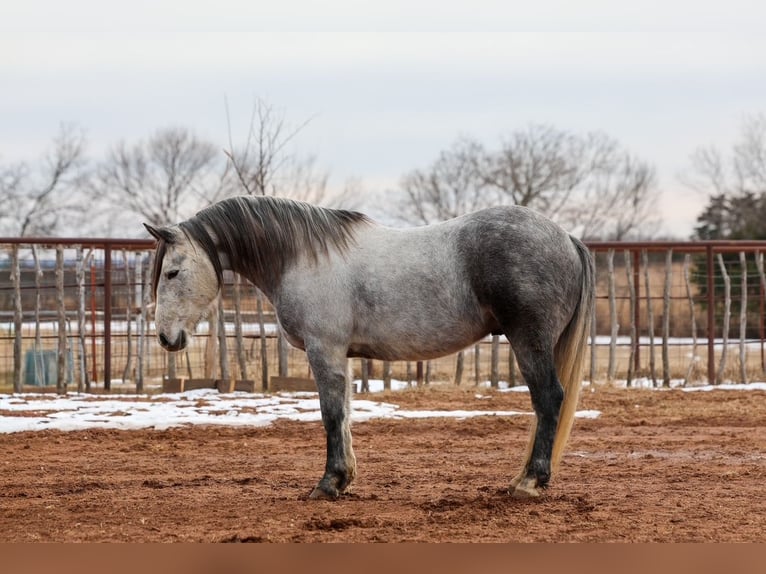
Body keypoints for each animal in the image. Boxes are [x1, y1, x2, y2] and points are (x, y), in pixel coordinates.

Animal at [144, 195, 595, 500]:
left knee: (549, 399)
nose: (166, 338)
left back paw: (530, 481)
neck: (303, 257)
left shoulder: (323, 350)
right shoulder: (339, 355)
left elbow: (330, 415)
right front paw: (345, 478)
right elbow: (344, 414)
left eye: (172, 272)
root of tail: (567, 238)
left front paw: (328, 484)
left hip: (529, 341)